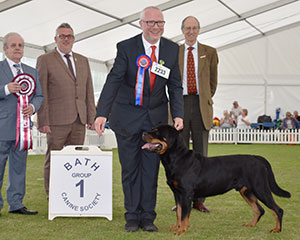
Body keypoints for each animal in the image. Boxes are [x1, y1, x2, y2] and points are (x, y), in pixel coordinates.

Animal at [142, 124, 290, 235]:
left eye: (156, 132)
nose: (143, 133)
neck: (177, 158)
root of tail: (256, 157)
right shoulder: (177, 193)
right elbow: (179, 212)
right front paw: (177, 226)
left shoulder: (186, 193)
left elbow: (184, 214)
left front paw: (181, 230)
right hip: (246, 191)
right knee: (259, 209)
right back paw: (251, 224)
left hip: (261, 188)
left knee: (277, 210)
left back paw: (277, 229)